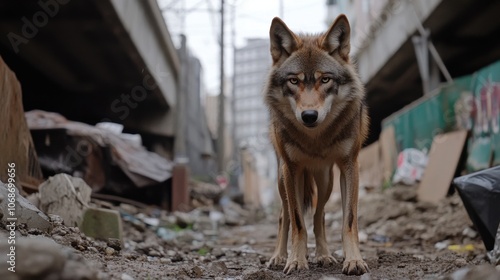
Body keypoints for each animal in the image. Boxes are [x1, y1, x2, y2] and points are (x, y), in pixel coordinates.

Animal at [264, 14, 370, 274]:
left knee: (319, 215)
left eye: (325, 79)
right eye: (294, 80)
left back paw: (323, 255)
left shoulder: (350, 166)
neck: (315, 138)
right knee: (284, 217)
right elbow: (297, 222)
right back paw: (279, 257)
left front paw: (353, 260)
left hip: (325, 181)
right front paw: (295, 260)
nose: (309, 116)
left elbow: (348, 221)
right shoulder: (292, 170)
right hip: (283, 180)